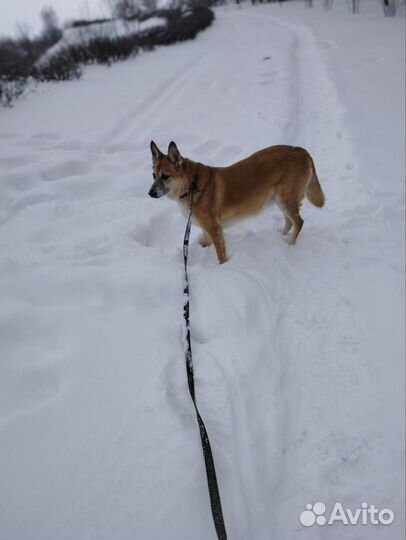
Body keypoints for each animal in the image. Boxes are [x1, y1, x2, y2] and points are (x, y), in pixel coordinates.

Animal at [147, 141, 326, 264]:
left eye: (165, 176)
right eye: (153, 175)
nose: (150, 193)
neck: (192, 184)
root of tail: (300, 150)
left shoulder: (215, 229)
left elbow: (220, 254)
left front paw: (223, 268)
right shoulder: (206, 227)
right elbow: (206, 240)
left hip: (286, 200)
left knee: (299, 221)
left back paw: (290, 242)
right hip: (280, 200)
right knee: (289, 221)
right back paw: (280, 235)